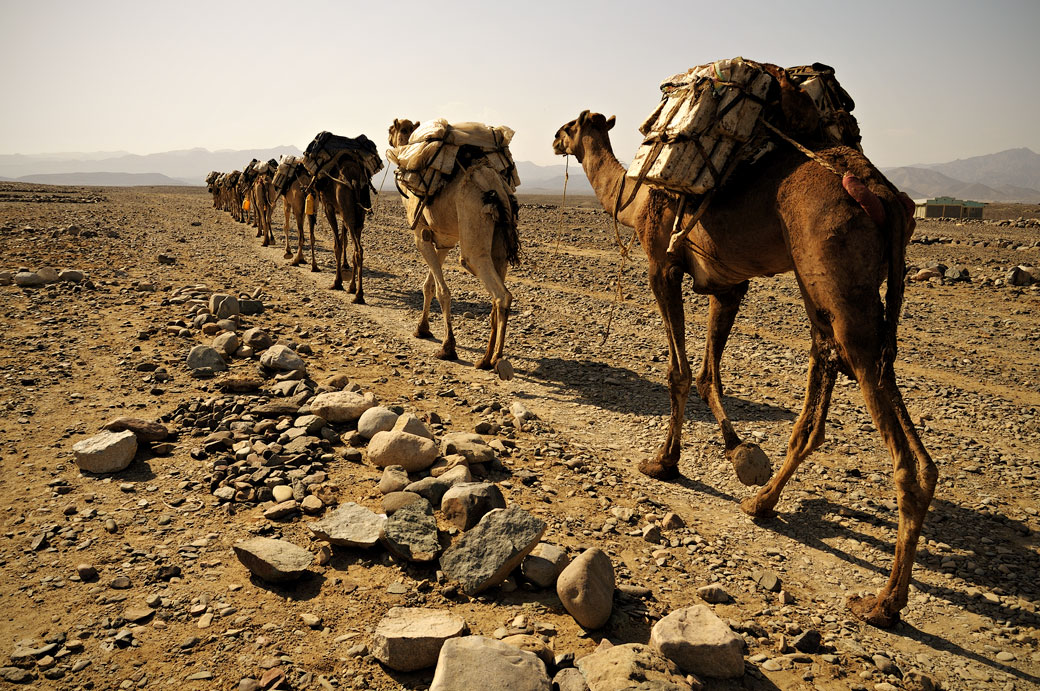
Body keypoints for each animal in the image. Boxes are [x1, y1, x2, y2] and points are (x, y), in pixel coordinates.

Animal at [388, 117, 524, 372]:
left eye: (392, 129)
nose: (390, 139)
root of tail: (495, 186)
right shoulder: (443, 241)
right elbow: (429, 286)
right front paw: (422, 329)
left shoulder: (420, 235)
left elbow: (442, 290)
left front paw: (447, 347)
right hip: (499, 239)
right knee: (497, 289)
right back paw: (486, 357)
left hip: (473, 227)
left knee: (500, 293)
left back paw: (495, 359)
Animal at [557, 109, 940, 632]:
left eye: (570, 127)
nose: (555, 140)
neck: (636, 199)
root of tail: (887, 199)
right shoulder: (728, 284)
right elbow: (707, 373)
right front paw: (736, 448)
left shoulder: (661, 262)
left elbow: (679, 373)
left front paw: (664, 462)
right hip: (826, 286)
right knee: (836, 364)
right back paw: (763, 502)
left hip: (837, 281)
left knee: (884, 422)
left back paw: (882, 603)